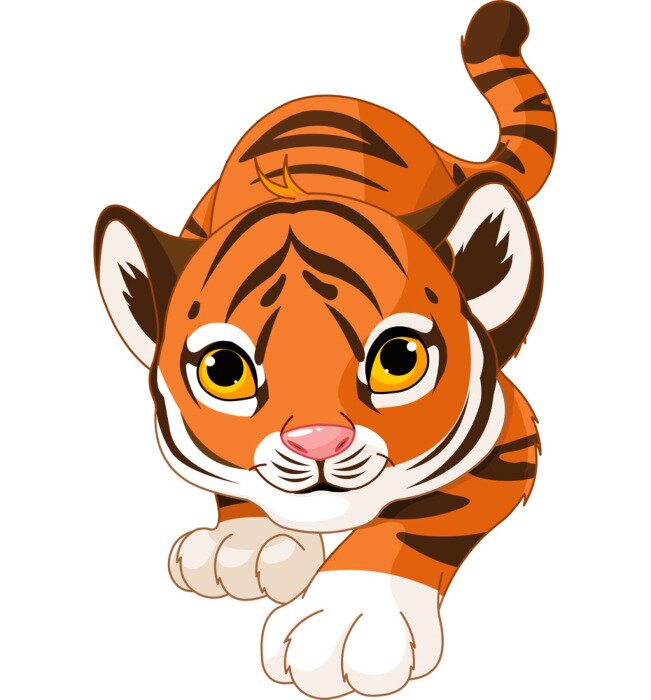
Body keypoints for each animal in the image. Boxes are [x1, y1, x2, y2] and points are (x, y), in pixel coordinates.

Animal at [93, 1, 556, 697]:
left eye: (399, 360)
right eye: (224, 371)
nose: (317, 443)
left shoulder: (509, 432)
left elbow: (416, 519)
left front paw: (350, 620)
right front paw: (246, 544)